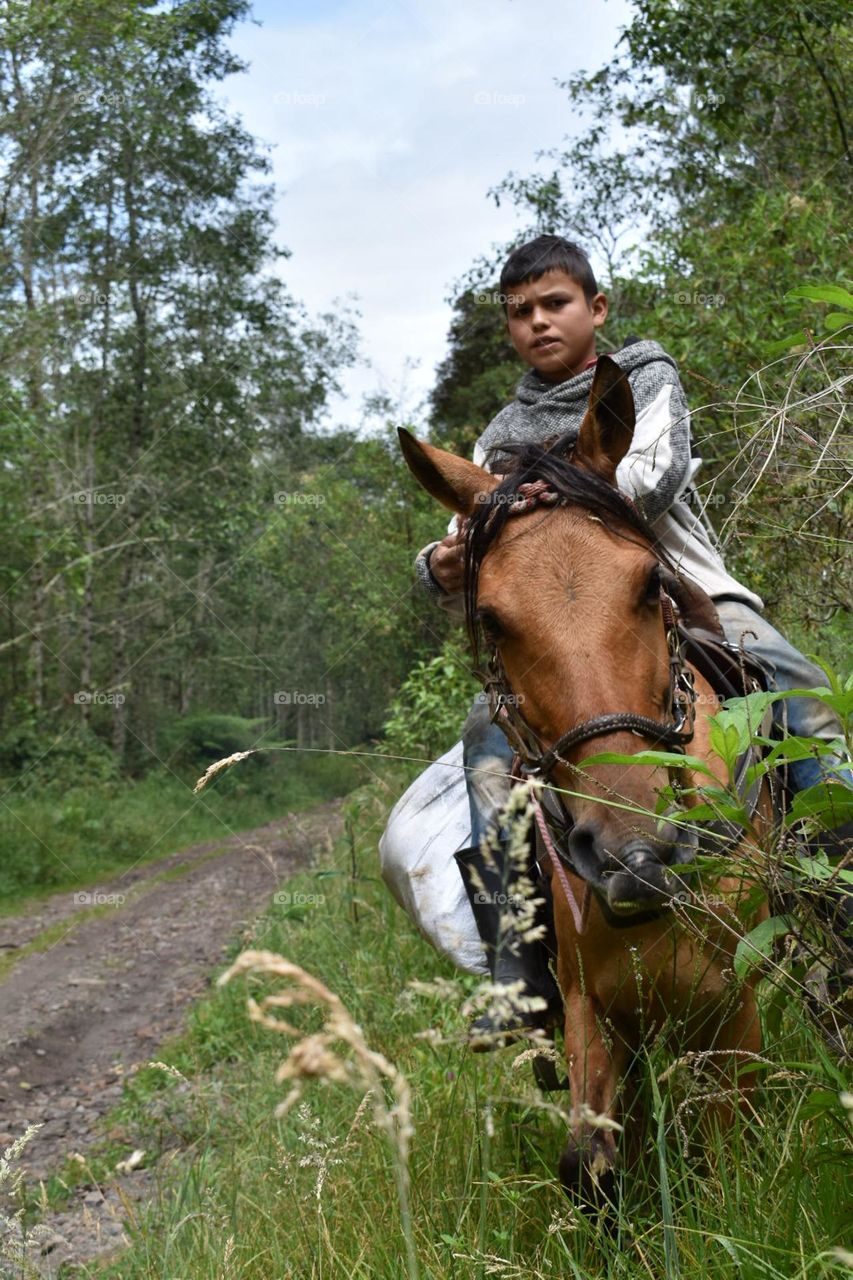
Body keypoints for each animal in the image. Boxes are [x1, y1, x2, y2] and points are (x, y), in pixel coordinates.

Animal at [398, 355, 773, 1204]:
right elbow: (588, 1165)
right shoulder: (588, 1006)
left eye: (648, 584)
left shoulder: (733, 1005)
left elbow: (731, 1156)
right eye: (491, 619)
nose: (632, 853)